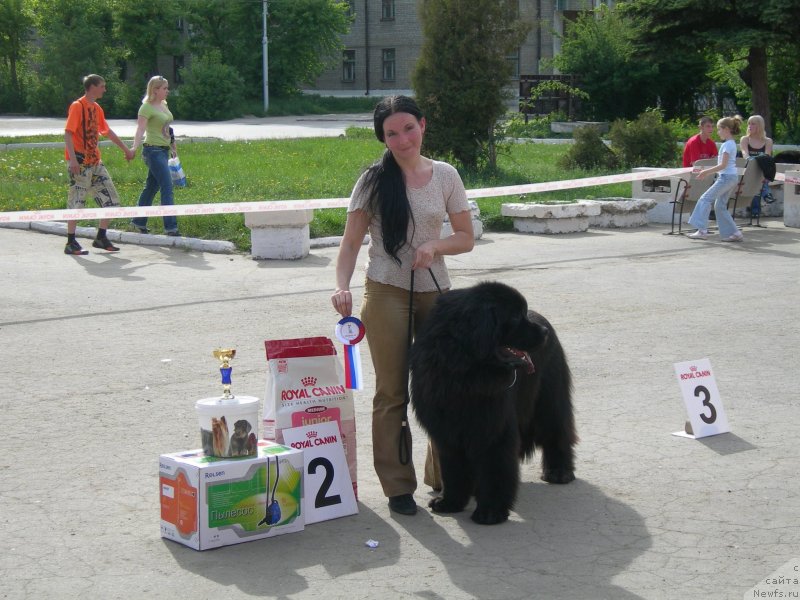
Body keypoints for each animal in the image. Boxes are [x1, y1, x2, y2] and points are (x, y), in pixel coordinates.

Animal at [412, 282, 576, 524]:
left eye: (522, 312)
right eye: (516, 316)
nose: (544, 333)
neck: (464, 372)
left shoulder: (493, 429)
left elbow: (494, 469)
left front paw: (490, 512)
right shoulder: (447, 432)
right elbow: (453, 469)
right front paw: (450, 502)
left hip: (549, 399)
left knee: (557, 431)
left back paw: (559, 472)